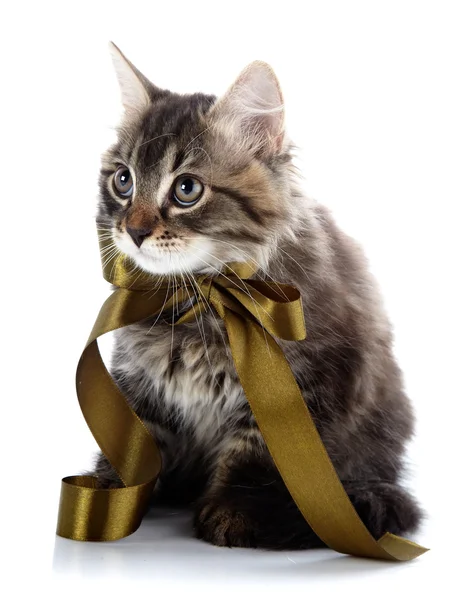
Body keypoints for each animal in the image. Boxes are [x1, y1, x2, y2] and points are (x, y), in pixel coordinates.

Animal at [93, 41, 422, 548]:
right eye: (123, 180)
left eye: (186, 189)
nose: (134, 231)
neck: (202, 299)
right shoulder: (140, 377)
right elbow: (132, 440)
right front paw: (111, 495)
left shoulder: (306, 382)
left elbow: (257, 457)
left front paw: (235, 512)